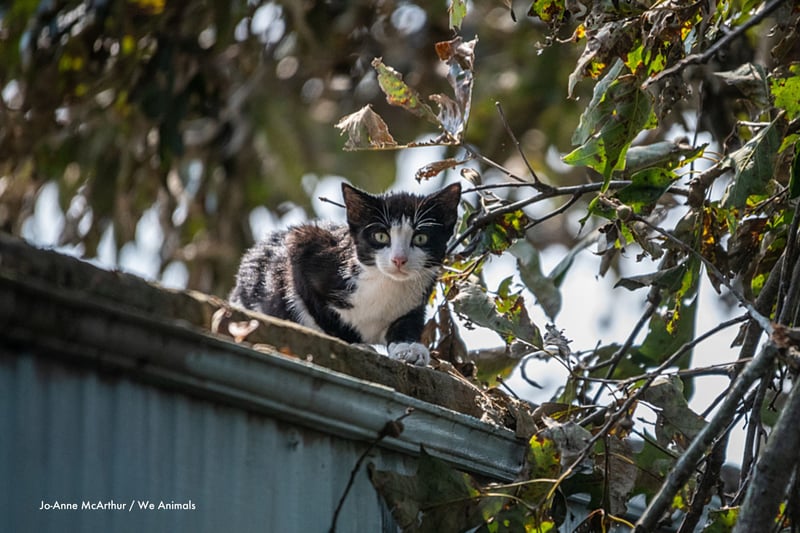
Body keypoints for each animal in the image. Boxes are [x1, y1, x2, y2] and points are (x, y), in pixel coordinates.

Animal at [228, 183, 460, 366]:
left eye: (421, 238)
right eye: (380, 236)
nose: (399, 259)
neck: (384, 282)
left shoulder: (418, 297)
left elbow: (408, 321)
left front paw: (411, 349)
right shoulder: (302, 245)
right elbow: (323, 314)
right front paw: (355, 343)